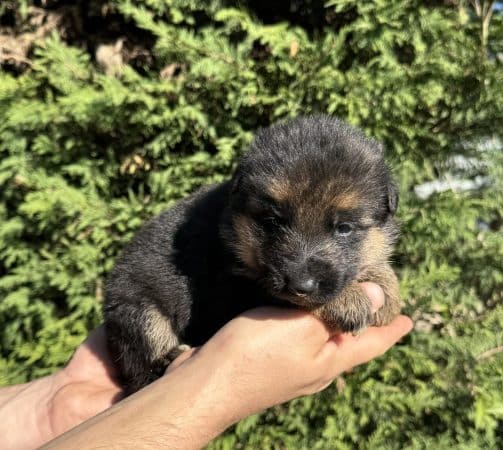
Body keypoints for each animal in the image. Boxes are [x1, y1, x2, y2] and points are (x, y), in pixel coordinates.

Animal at [104, 116, 404, 394]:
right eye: (272, 221)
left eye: (344, 228)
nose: (301, 285)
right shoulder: (233, 288)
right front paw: (347, 299)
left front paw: (387, 289)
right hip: (138, 309)